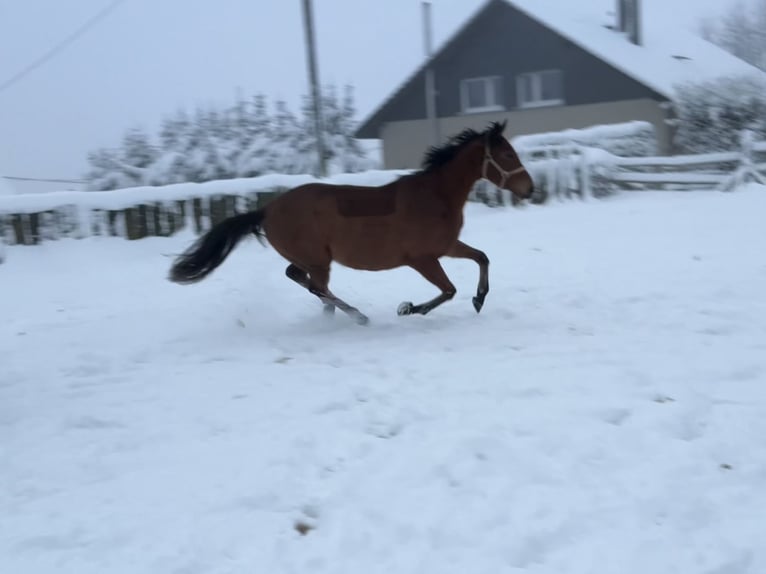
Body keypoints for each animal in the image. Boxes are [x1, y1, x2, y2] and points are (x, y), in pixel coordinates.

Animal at [170, 119, 536, 326]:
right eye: (507, 155)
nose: (530, 188)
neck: (435, 196)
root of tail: (267, 210)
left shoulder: (445, 246)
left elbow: (481, 257)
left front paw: (479, 298)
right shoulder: (422, 258)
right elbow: (448, 290)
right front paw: (409, 308)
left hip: (313, 259)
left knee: (302, 279)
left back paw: (338, 315)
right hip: (320, 259)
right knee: (315, 285)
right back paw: (358, 316)